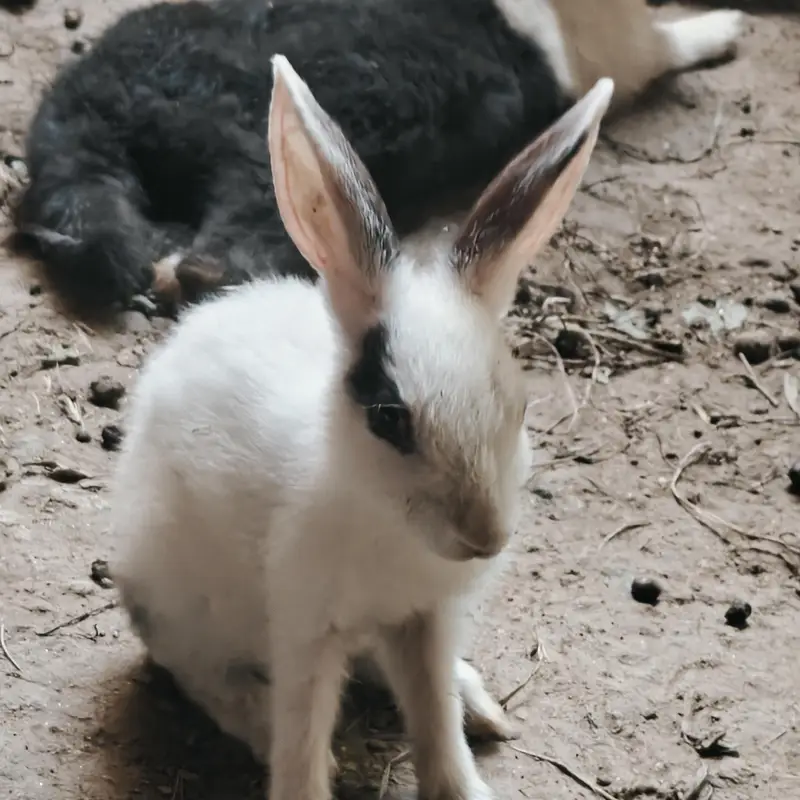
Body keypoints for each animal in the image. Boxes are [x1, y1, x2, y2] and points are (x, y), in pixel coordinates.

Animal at [14, 0, 744, 315]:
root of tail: (101, 107)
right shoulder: (616, 53)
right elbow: (667, 43)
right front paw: (727, 27)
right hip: (270, 161)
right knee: (221, 250)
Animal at [110, 53, 614, 800]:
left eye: (520, 407)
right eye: (388, 417)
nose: (485, 537)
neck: (386, 523)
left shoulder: (426, 620)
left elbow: (433, 716)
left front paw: (460, 783)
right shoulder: (305, 625)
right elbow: (303, 734)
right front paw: (309, 774)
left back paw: (481, 705)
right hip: (180, 605)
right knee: (203, 675)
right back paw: (256, 715)